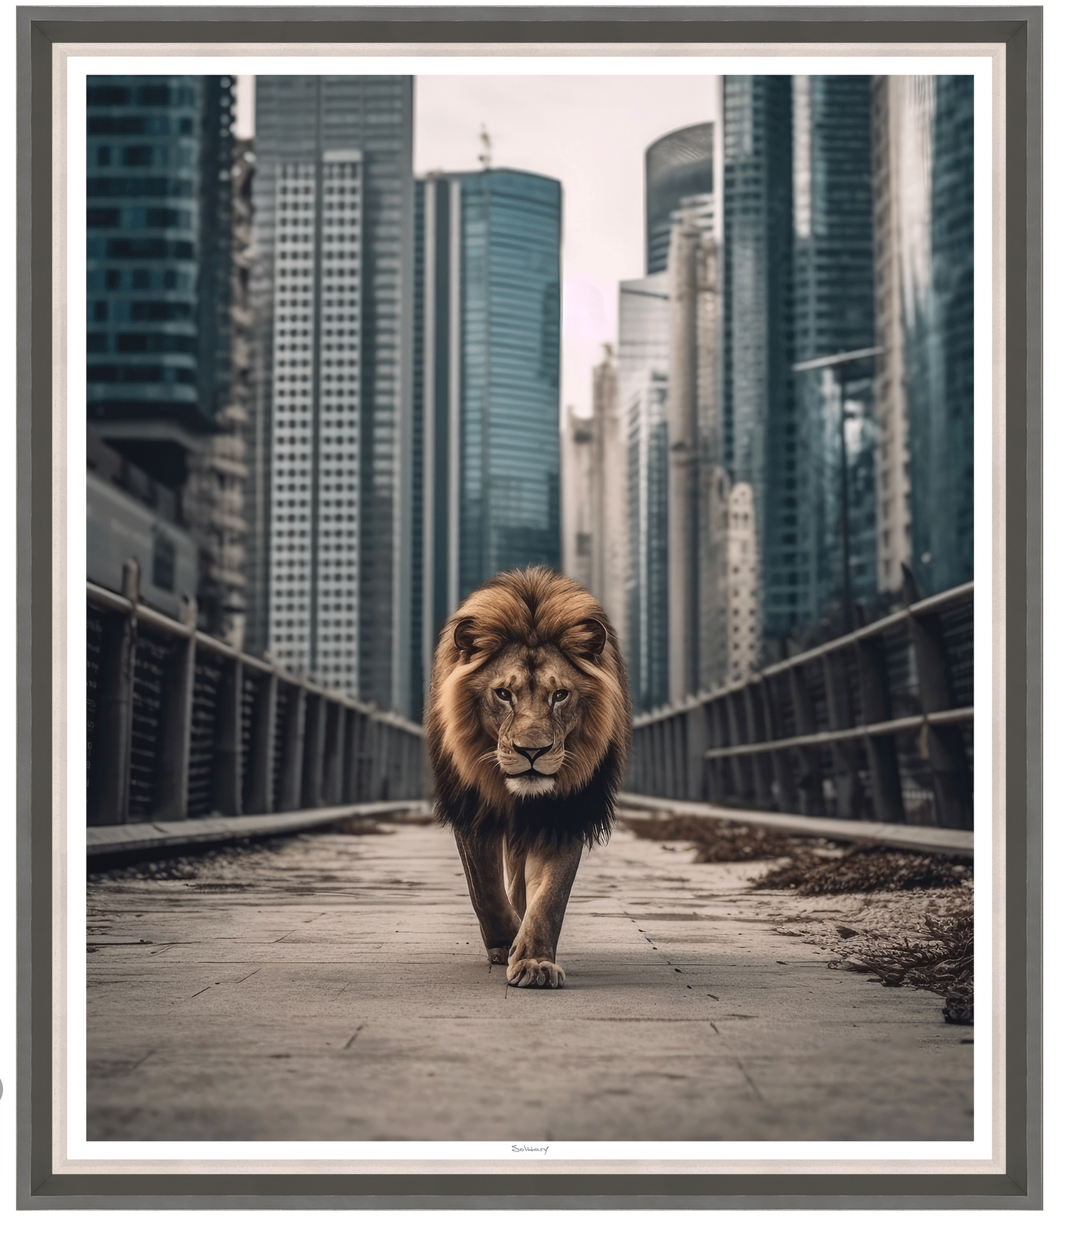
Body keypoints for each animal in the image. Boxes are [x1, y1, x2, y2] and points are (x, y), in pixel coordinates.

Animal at [426, 566, 632, 988]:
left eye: (560, 695)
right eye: (504, 694)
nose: (532, 752)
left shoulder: (564, 812)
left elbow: (550, 897)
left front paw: (534, 960)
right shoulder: (473, 806)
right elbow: (485, 887)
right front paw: (506, 941)